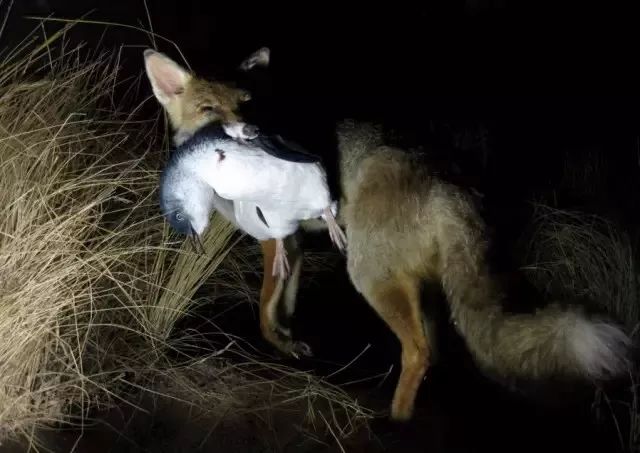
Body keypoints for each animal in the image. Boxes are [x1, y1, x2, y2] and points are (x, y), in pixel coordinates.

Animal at [146, 46, 316, 356]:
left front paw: (281, 344)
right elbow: (285, 304)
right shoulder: (291, 241)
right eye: (209, 108)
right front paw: (287, 337)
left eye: (247, 103)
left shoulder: (273, 239)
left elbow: (265, 309)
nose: (251, 130)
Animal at [332, 117, 632, 420]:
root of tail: (445, 187)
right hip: (426, 284)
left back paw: (398, 417)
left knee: (418, 352)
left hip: (370, 276)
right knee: (435, 349)